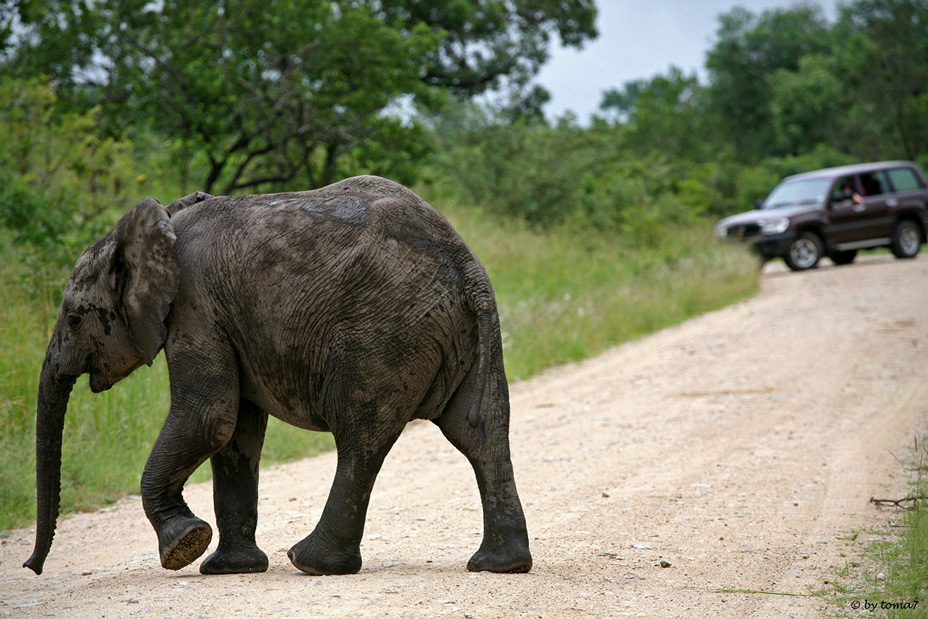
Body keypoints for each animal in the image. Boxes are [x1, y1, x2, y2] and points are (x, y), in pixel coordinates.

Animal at [21, 174, 532, 576]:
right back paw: (499, 565)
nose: (32, 567)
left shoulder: (195, 307)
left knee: (360, 436)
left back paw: (311, 563)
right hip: (464, 332)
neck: (160, 223)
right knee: (480, 431)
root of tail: (465, 268)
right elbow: (235, 434)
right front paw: (229, 569)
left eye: (74, 320)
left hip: (384, 333)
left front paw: (184, 545)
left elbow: (208, 417)